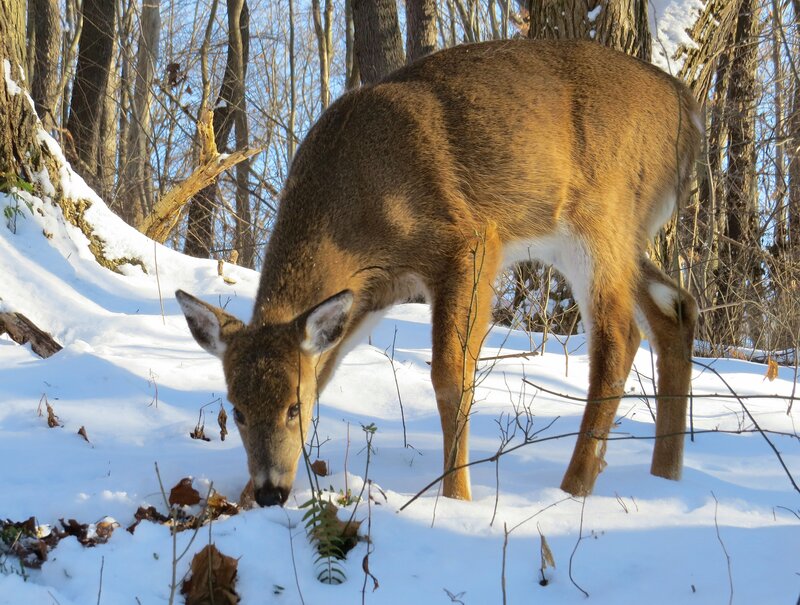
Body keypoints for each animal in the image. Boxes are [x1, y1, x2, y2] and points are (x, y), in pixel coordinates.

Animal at [176, 39, 702, 507]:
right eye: (237, 411)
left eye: (292, 406)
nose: (271, 492)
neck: (356, 205)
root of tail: (689, 108)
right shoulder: (371, 293)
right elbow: (326, 372)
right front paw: (240, 503)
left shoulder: (469, 241)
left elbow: (451, 377)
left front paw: (457, 497)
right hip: (620, 235)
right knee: (676, 307)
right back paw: (665, 476)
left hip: (600, 219)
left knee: (620, 338)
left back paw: (575, 487)